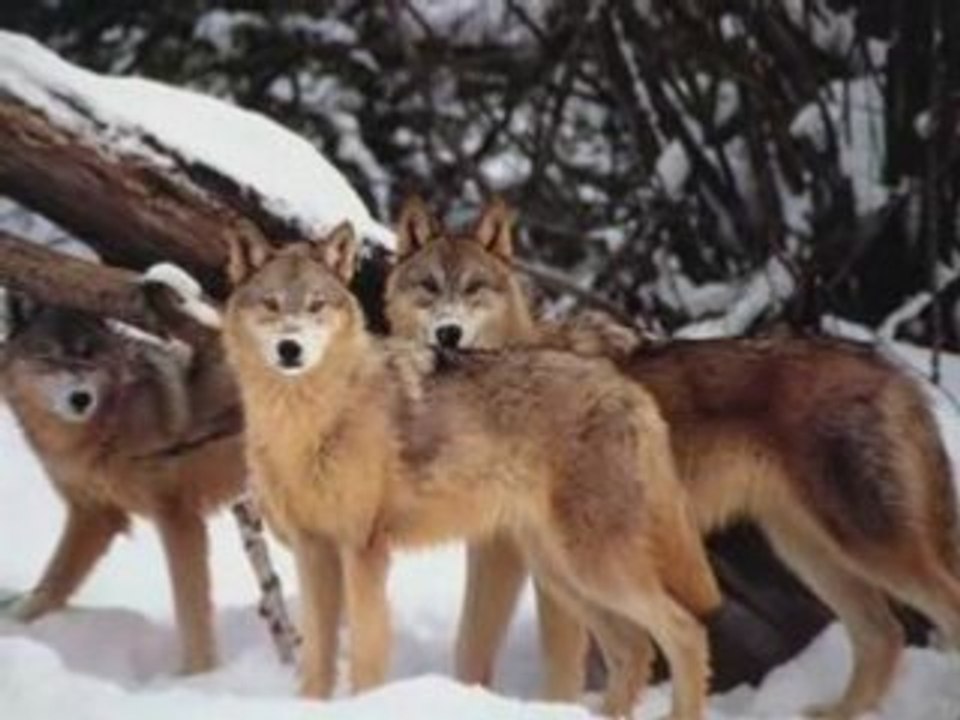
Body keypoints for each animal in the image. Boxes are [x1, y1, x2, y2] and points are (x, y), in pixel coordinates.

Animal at [0, 298, 244, 674]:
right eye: (49, 357)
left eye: (88, 354)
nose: (81, 398)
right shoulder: (93, 515)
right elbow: (52, 581)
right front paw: (15, 625)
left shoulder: (178, 518)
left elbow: (191, 607)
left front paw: (196, 675)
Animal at [220, 224, 721, 719]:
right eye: (270, 304)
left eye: (315, 305)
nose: (290, 348)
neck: (310, 422)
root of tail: (627, 388)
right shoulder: (313, 551)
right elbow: (316, 664)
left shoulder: (363, 551)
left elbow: (365, 656)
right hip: (561, 573)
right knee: (633, 647)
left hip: (593, 567)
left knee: (686, 631)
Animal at [384, 196, 960, 720]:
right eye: (428, 287)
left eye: (474, 289)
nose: (449, 333)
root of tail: (893, 371)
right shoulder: (500, 552)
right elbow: (470, 650)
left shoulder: (539, 571)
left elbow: (562, 663)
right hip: (808, 551)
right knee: (883, 634)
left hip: (866, 548)